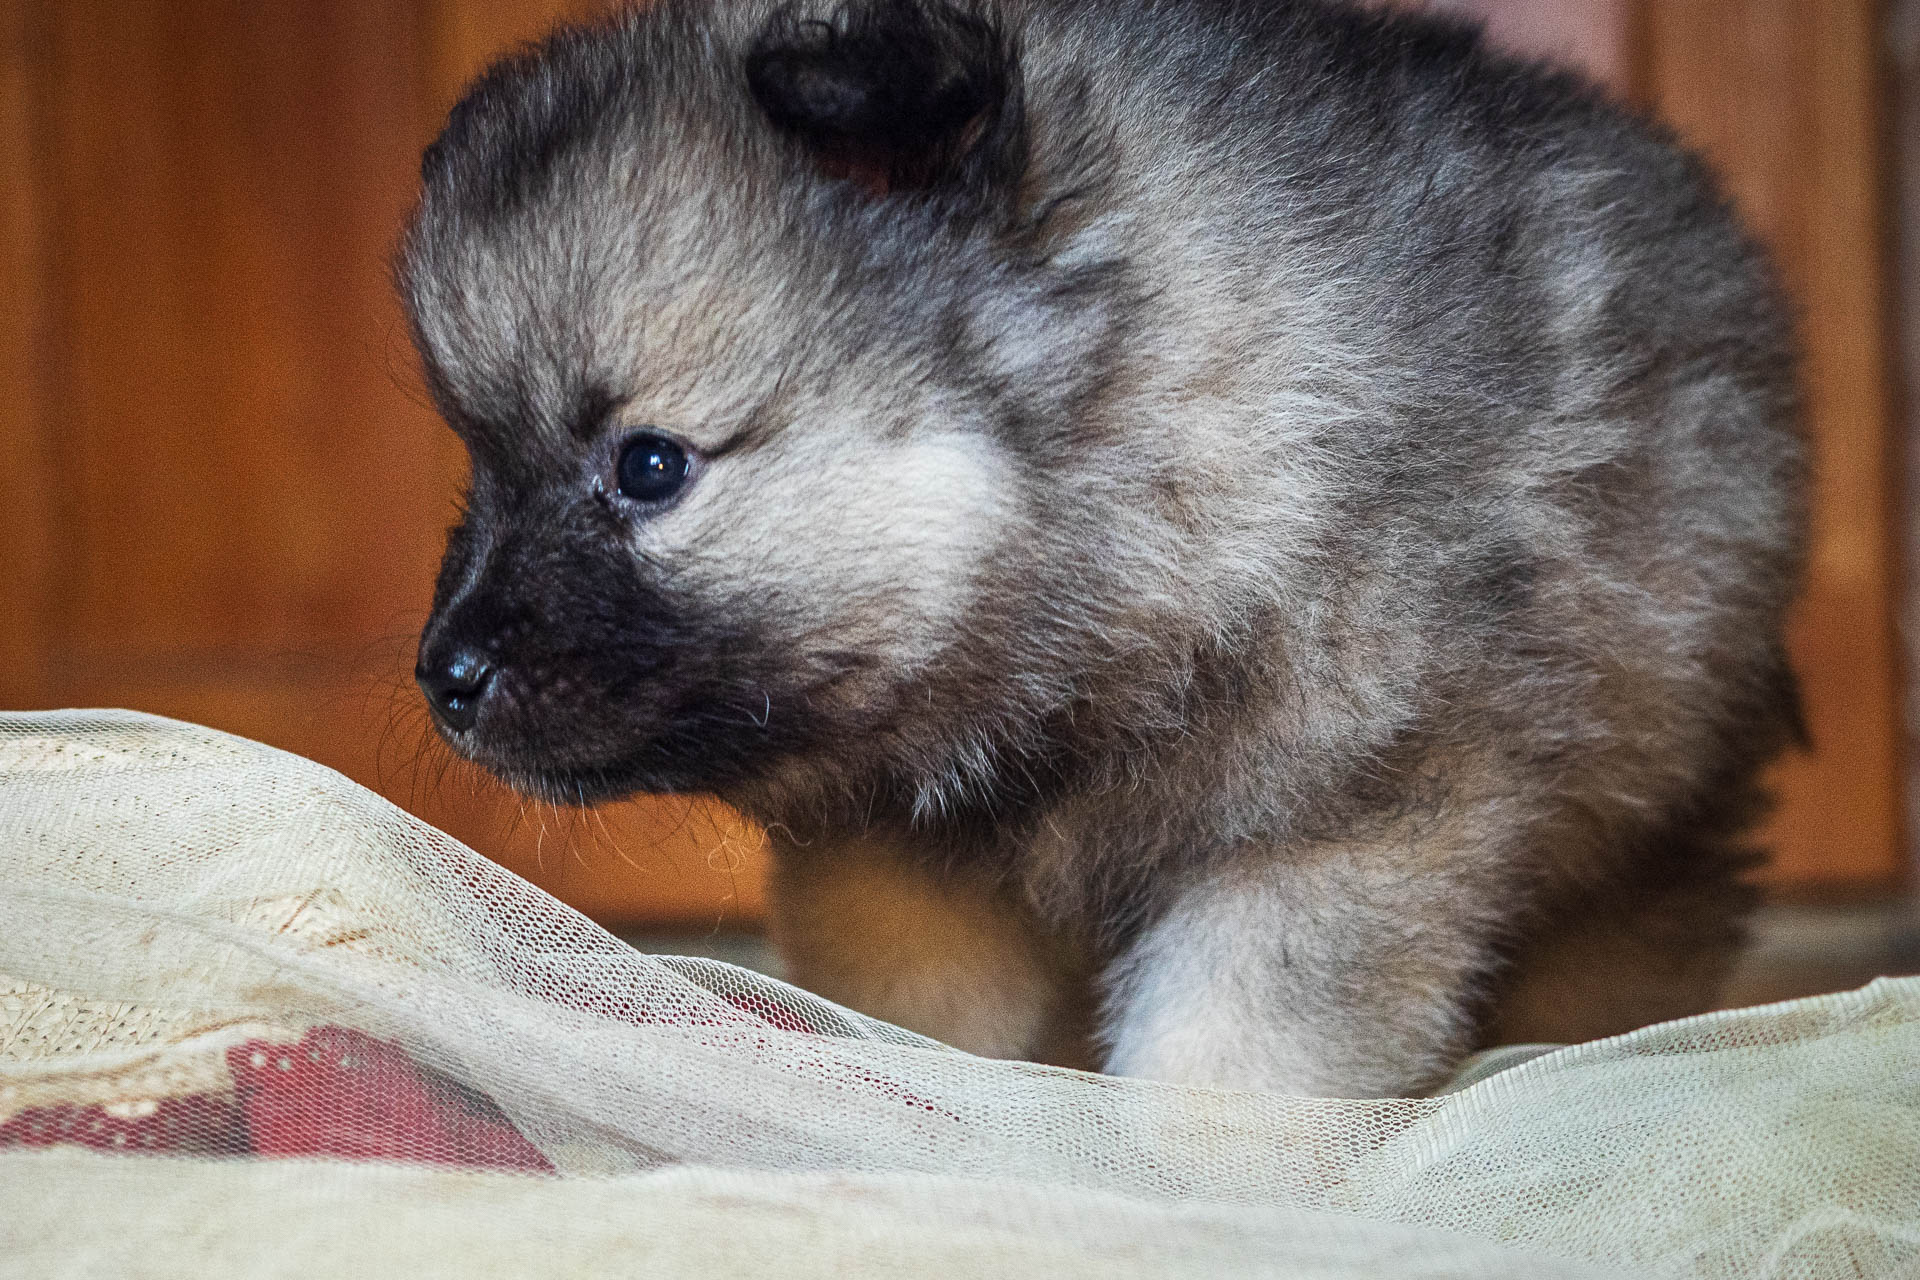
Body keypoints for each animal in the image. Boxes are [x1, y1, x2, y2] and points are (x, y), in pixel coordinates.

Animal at [397, 0, 1804, 1105]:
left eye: (649, 467)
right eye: (477, 459)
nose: (443, 676)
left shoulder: (1325, 834)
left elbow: (1226, 1072)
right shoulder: (902, 871)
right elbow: (933, 1037)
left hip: (1644, 827)